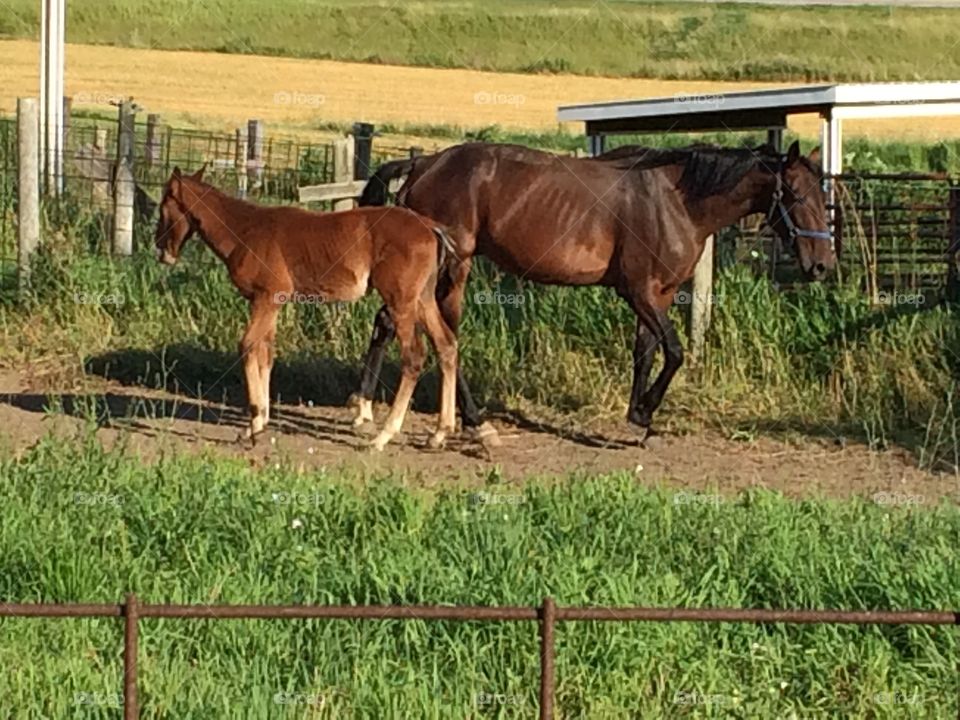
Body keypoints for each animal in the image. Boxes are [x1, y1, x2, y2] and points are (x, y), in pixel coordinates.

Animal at [153, 166, 459, 451]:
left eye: (164, 204)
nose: (159, 246)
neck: (245, 229)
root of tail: (430, 228)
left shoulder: (267, 298)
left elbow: (248, 345)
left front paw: (254, 423)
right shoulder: (270, 303)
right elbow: (266, 353)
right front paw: (259, 422)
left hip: (401, 302)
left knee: (414, 356)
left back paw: (383, 436)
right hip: (423, 300)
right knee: (446, 345)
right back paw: (440, 432)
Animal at [350, 140, 835, 444]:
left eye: (823, 194)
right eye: (795, 194)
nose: (821, 265)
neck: (676, 200)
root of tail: (425, 163)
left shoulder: (658, 294)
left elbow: (646, 353)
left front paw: (636, 418)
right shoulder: (638, 291)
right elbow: (675, 351)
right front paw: (645, 412)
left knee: (391, 323)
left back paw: (369, 408)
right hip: (454, 267)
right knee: (437, 333)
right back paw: (459, 421)